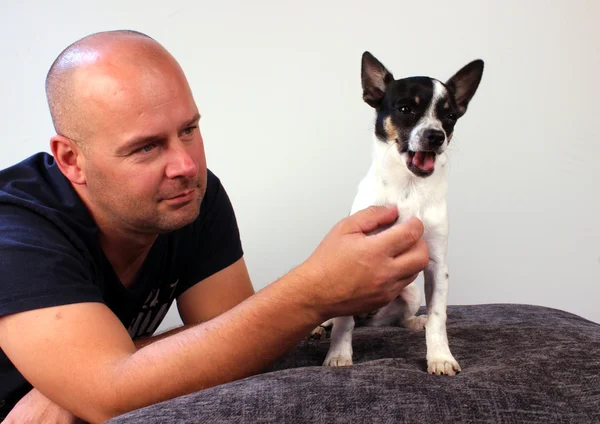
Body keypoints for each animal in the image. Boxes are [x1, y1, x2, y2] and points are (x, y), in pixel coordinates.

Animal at [318, 52, 482, 374]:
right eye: (406, 108)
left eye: (450, 117)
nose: (436, 136)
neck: (409, 188)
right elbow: (343, 323)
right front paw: (339, 355)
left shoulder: (436, 266)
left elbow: (438, 318)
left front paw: (440, 357)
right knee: (342, 319)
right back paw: (322, 326)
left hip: (410, 293)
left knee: (395, 320)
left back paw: (415, 321)